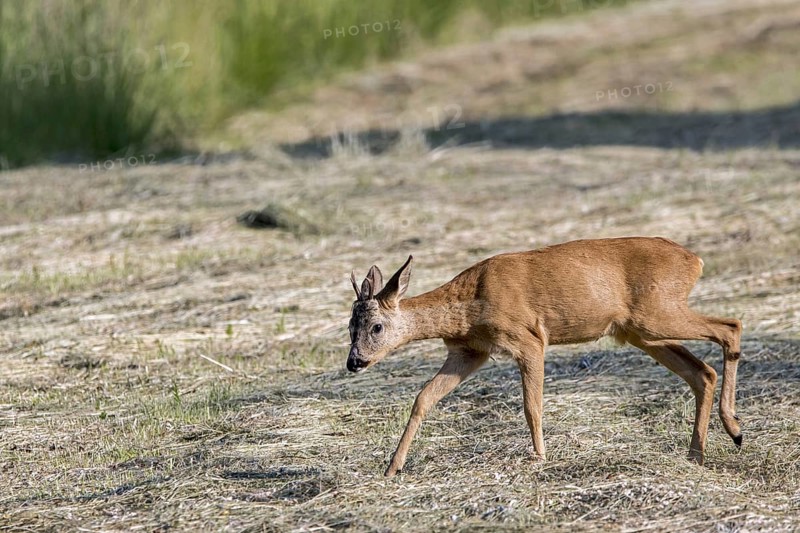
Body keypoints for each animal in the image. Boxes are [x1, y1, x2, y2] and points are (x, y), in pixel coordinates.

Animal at [346, 237, 743, 477]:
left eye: (376, 327)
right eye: (349, 326)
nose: (354, 362)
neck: (470, 306)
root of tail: (695, 260)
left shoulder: (528, 338)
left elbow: (531, 405)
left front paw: (539, 457)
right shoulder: (470, 351)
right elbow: (423, 398)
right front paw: (392, 467)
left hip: (658, 313)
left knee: (730, 326)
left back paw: (733, 428)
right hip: (640, 330)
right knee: (702, 372)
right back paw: (699, 454)